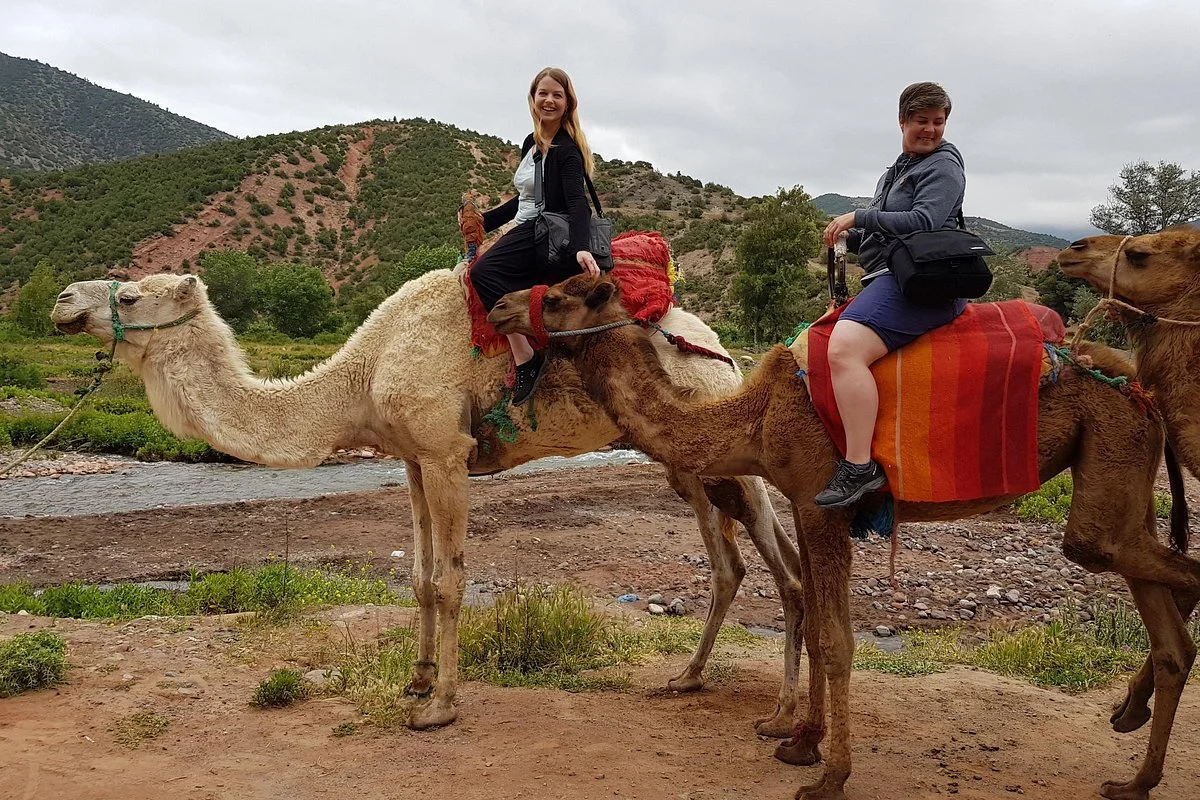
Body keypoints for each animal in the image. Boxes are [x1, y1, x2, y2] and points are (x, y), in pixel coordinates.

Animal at [48, 270, 809, 735]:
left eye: (133, 296)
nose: (61, 302)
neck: (362, 374)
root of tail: (720, 346)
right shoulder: (411, 457)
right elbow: (416, 577)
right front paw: (416, 680)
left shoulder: (447, 454)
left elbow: (449, 582)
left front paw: (440, 705)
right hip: (686, 465)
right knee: (735, 564)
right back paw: (690, 678)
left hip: (719, 434)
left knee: (784, 565)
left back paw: (782, 712)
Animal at [488, 273, 1200, 800]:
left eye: (560, 294)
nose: (496, 306)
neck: (753, 415)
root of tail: (1141, 384)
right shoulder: (806, 503)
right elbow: (819, 620)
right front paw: (801, 741)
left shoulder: (822, 500)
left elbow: (836, 637)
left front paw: (830, 774)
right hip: (1121, 471)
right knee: (1162, 613)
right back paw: (1134, 763)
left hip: (1109, 451)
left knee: (1142, 564)